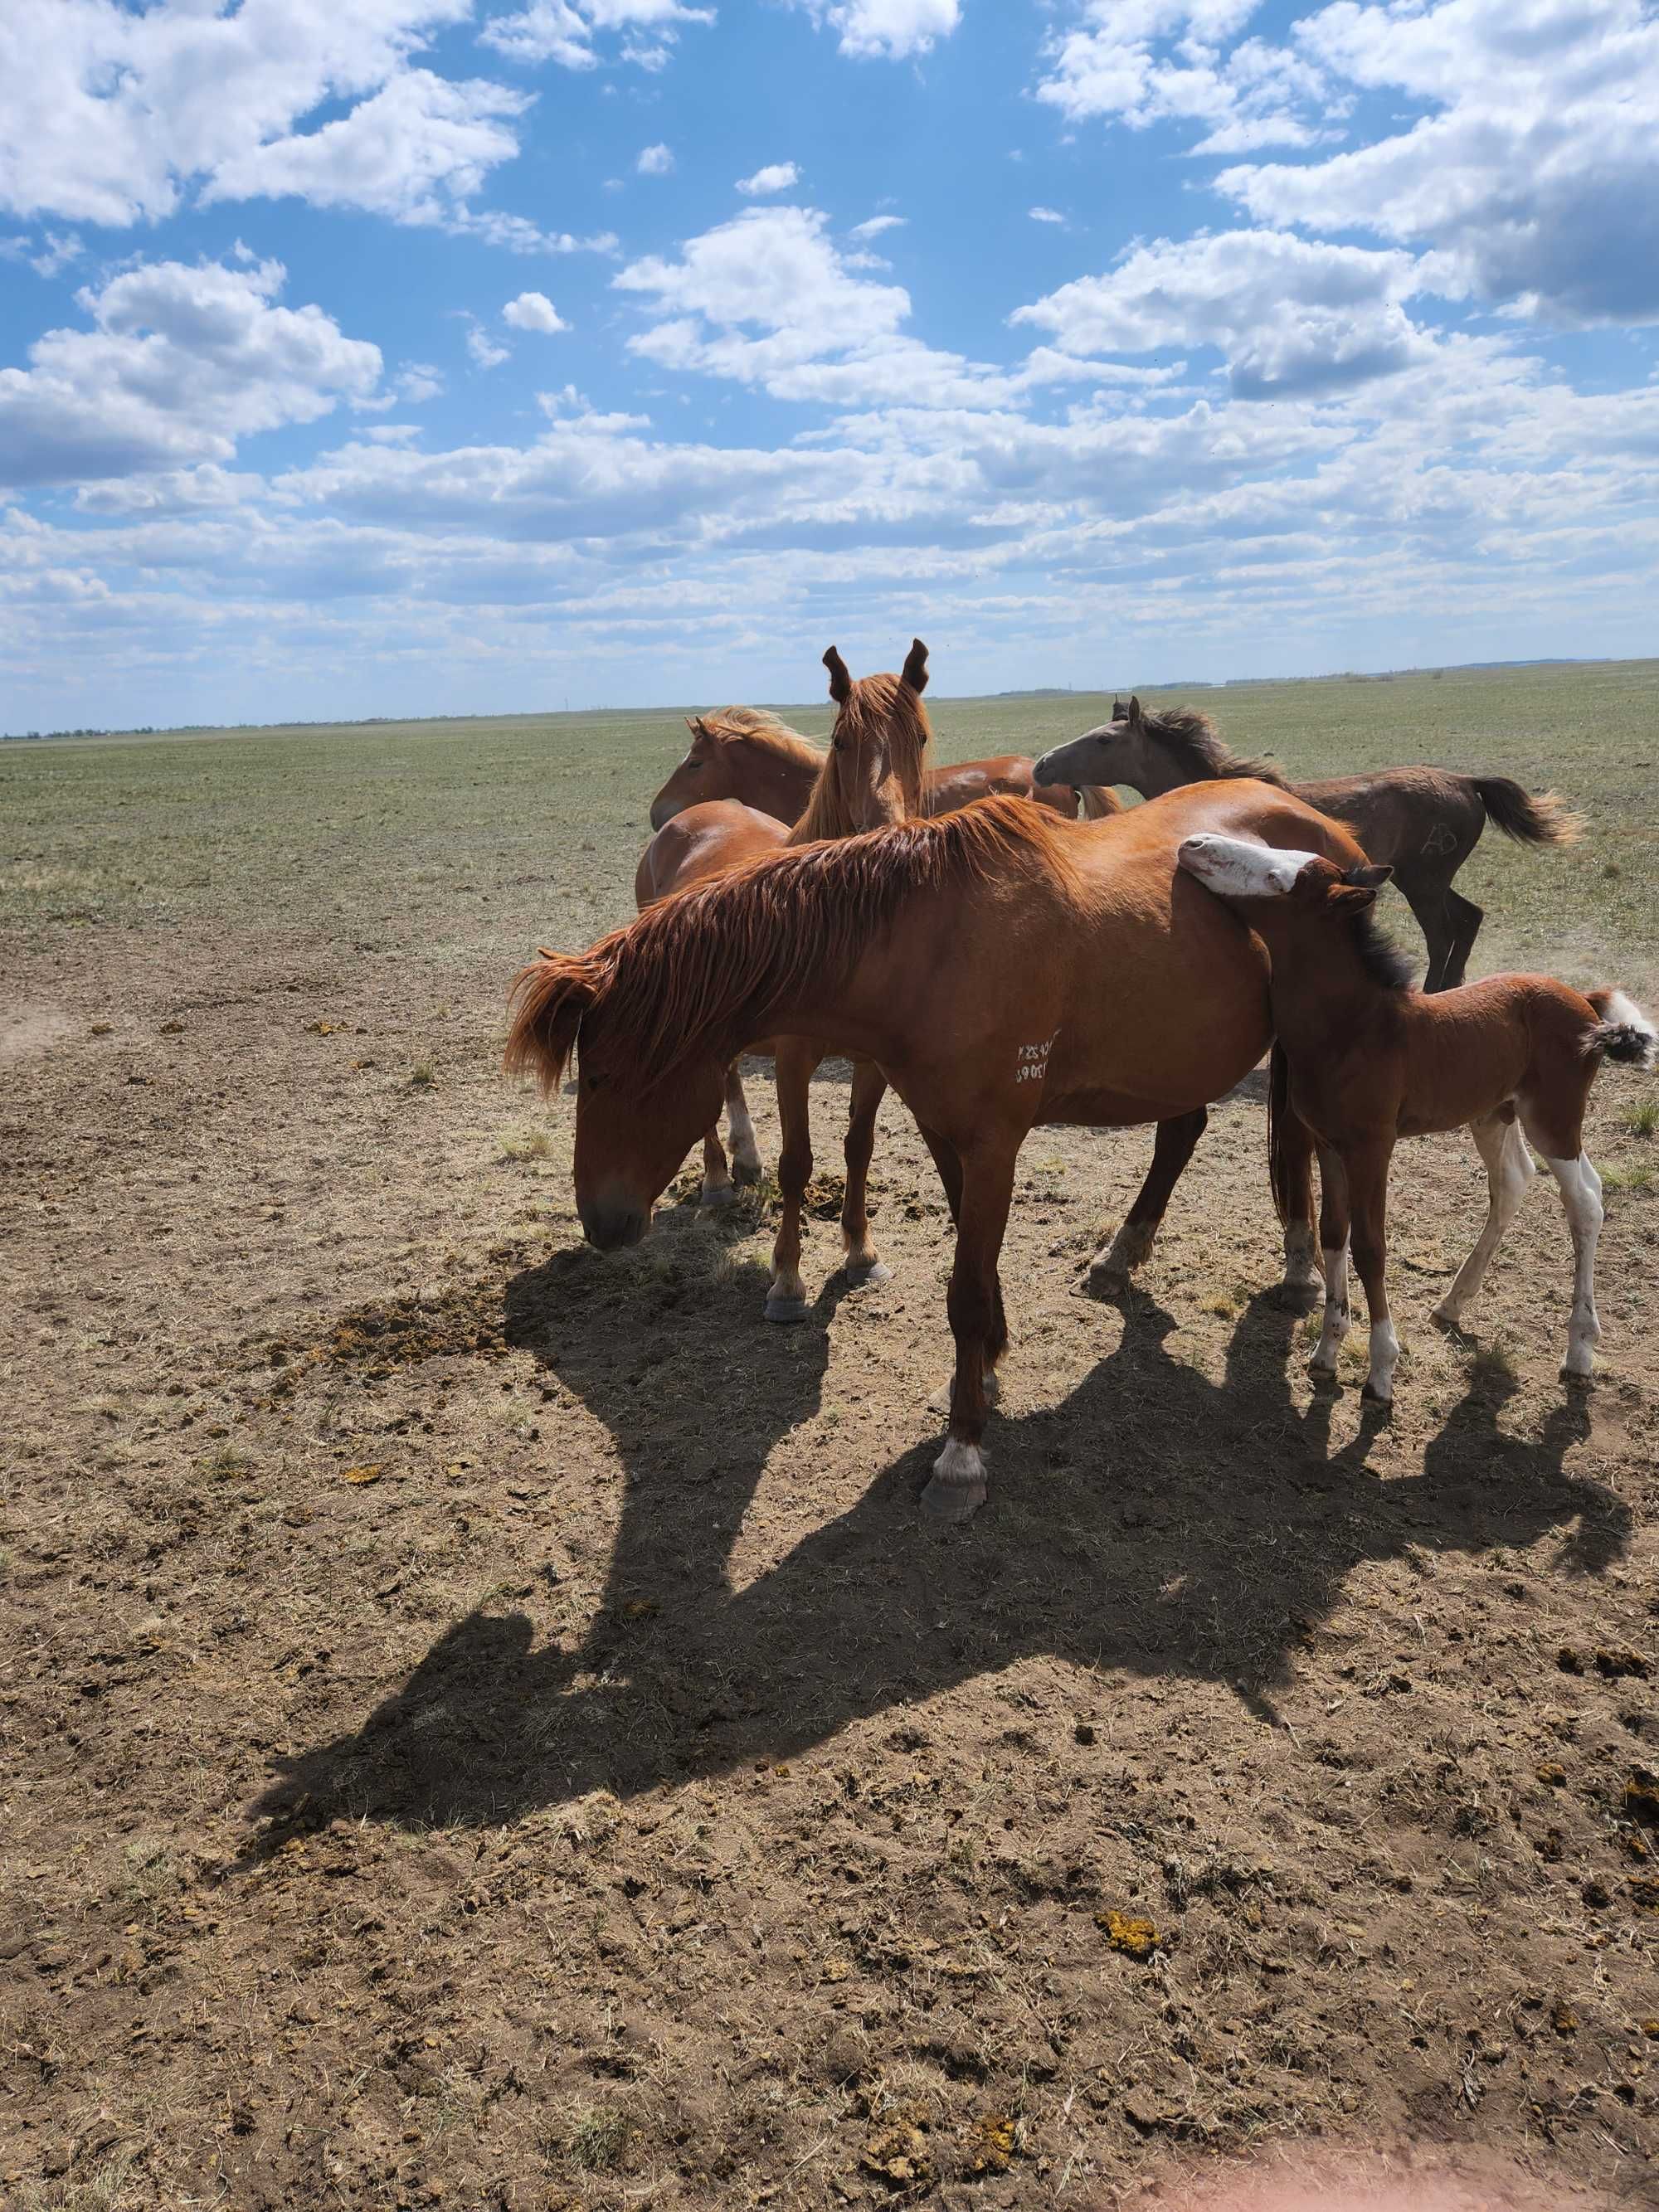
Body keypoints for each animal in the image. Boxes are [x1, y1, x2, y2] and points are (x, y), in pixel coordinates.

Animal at [511, 778, 1380, 1521]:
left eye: (609, 1074)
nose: (602, 1222)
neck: (931, 950)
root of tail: (1318, 821)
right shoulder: (940, 1126)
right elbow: (975, 1257)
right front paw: (989, 1363)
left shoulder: (996, 1142)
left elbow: (964, 1286)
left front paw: (962, 1454)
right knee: (1183, 1131)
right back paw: (1121, 1255)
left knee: (1295, 1146)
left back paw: (1298, 1269)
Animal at [1039, 698, 1584, 995]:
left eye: (1105, 740)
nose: (1043, 764)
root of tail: (1467, 781)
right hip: (1423, 879)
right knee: (1469, 918)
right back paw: (1451, 987)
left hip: (1423, 884)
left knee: (1442, 933)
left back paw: (1433, 992)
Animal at [1176, 831, 1654, 1398]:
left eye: (1277, 879)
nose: (1193, 843)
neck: (1353, 1029)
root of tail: (1582, 998)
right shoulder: (1330, 1145)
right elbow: (1334, 1235)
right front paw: (1327, 1352)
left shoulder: (1372, 1148)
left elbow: (1370, 1245)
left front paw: (1381, 1369)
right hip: (1494, 1112)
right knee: (1515, 1181)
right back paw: (1452, 1304)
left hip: (1554, 1118)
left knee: (1584, 1200)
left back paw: (1579, 1351)